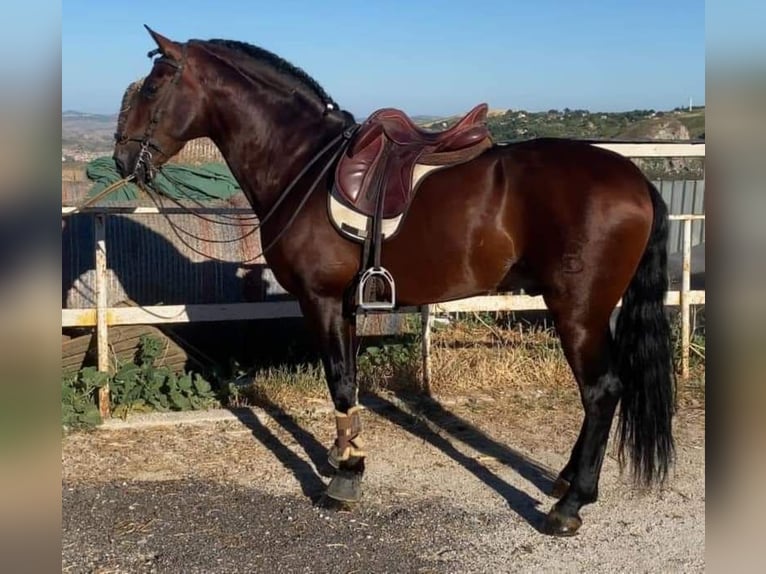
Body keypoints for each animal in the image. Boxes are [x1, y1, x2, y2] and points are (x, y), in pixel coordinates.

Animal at [114, 27, 680, 540]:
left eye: (153, 87)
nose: (121, 158)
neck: (302, 165)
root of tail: (636, 180)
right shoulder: (343, 305)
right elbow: (347, 381)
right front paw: (343, 454)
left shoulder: (320, 301)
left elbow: (341, 382)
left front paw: (345, 477)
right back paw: (564, 482)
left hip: (578, 311)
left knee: (602, 391)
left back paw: (570, 504)